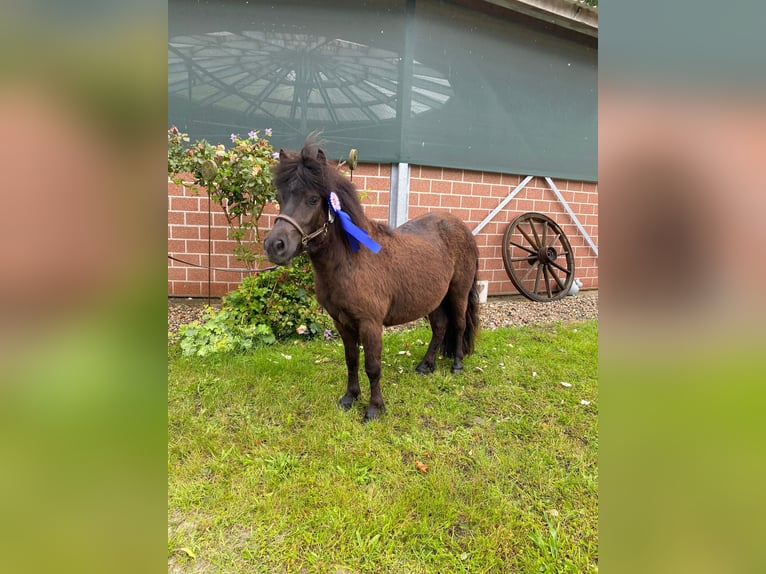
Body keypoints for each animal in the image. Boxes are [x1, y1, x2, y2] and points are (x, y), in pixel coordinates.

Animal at [264, 142, 480, 424]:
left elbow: (373, 367)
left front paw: (374, 409)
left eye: (312, 199)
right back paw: (425, 366)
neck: (351, 261)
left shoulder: (370, 324)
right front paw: (349, 398)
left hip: (458, 292)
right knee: (440, 328)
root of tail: (461, 227)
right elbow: (351, 360)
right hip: (434, 298)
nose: (274, 246)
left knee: (459, 324)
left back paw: (456, 365)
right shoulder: (342, 322)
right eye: (280, 197)